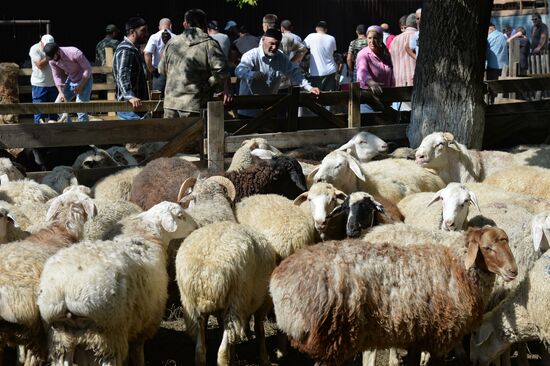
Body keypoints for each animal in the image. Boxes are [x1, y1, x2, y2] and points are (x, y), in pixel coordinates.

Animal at [36, 202, 197, 364]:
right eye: (181, 216)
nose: (196, 227)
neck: (145, 233)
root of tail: (67, 288)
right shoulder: (143, 322)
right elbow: (138, 352)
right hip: (109, 334)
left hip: (60, 336)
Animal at [177, 220, 278, 366]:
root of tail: (207, 273)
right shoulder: (263, 302)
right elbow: (260, 330)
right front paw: (264, 359)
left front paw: (235, 358)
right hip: (235, 302)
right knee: (222, 352)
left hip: (192, 307)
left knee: (200, 351)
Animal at [274, 227, 520, 364]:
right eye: (487, 248)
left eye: (507, 243)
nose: (513, 271)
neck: (457, 266)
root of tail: (280, 286)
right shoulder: (441, 336)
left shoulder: (419, 333)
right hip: (332, 338)